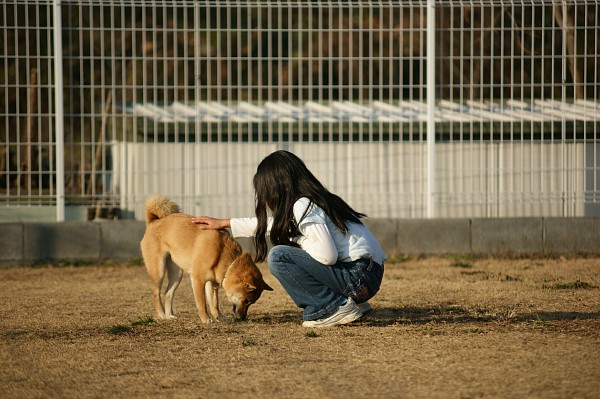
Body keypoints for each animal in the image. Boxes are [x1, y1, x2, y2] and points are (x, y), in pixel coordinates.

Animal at [139, 195, 274, 324]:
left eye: (250, 302)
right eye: (246, 301)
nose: (243, 318)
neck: (224, 257)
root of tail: (154, 221)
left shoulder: (212, 284)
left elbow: (214, 304)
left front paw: (220, 317)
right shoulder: (198, 280)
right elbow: (202, 304)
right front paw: (206, 319)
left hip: (177, 274)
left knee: (167, 293)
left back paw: (169, 316)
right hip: (159, 271)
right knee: (156, 292)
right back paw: (161, 314)